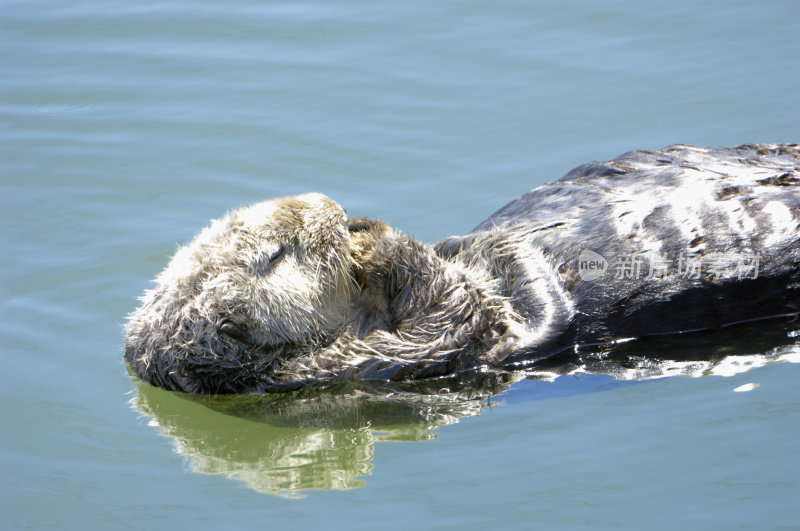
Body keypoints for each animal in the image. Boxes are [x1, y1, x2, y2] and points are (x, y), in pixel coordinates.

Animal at [125, 143, 800, 392]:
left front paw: (368, 230)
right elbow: (479, 305)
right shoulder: (425, 352)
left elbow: (462, 253)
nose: (333, 209)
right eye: (275, 254)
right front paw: (378, 243)